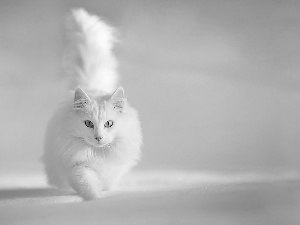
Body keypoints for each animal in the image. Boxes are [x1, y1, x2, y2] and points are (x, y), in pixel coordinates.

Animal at [42, 8, 143, 200]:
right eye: (88, 123)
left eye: (109, 123)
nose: (98, 137)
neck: (98, 154)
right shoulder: (77, 167)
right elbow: (86, 183)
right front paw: (94, 199)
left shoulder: (114, 168)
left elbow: (107, 182)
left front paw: (103, 194)